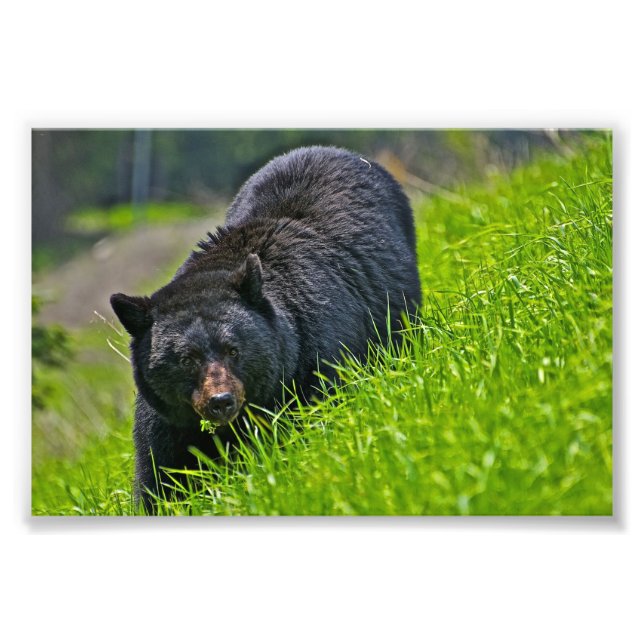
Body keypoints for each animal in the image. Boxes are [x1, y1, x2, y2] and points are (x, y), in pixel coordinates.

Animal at [110, 146, 421, 512]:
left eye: (234, 350)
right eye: (186, 359)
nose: (221, 401)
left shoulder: (314, 361)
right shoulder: (168, 420)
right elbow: (160, 474)